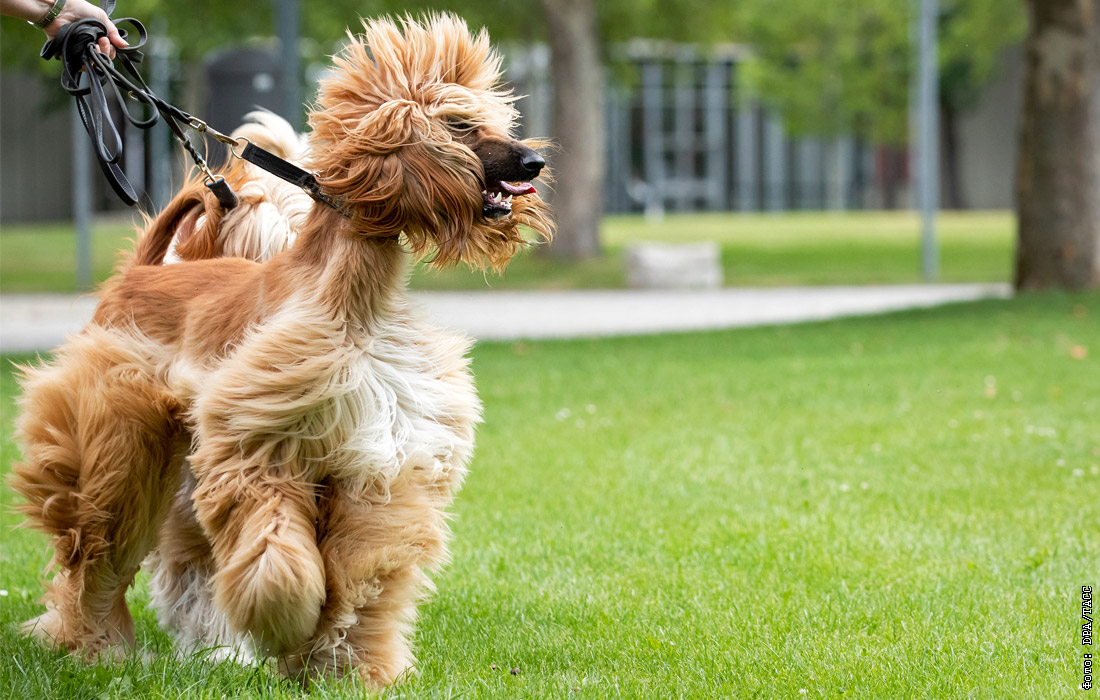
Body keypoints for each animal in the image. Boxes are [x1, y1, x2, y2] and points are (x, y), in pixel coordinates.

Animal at [10, 13, 550, 686]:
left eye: (494, 122)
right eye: (458, 125)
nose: (535, 161)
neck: (353, 302)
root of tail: (137, 274)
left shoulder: (375, 459)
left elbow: (364, 571)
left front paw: (346, 666)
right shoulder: (260, 441)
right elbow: (276, 549)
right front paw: (288, 620)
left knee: (181, 558)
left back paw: (207, 649)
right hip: (116, 433)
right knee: (97, 546)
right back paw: (91, 643)